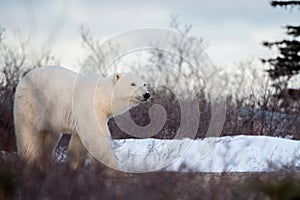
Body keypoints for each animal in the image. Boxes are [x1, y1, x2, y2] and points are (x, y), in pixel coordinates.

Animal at [14, 66, 150, 169]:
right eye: (132, 84)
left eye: (144, 84)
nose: (147, 94)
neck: (102, 96)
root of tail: (23, 79)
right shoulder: (89, 108)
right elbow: (96, 137)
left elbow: (79, 142)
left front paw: (74, 167)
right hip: (31, 105)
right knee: (28, 134)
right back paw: (30, 161)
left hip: (50, 117)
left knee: (50, 138)